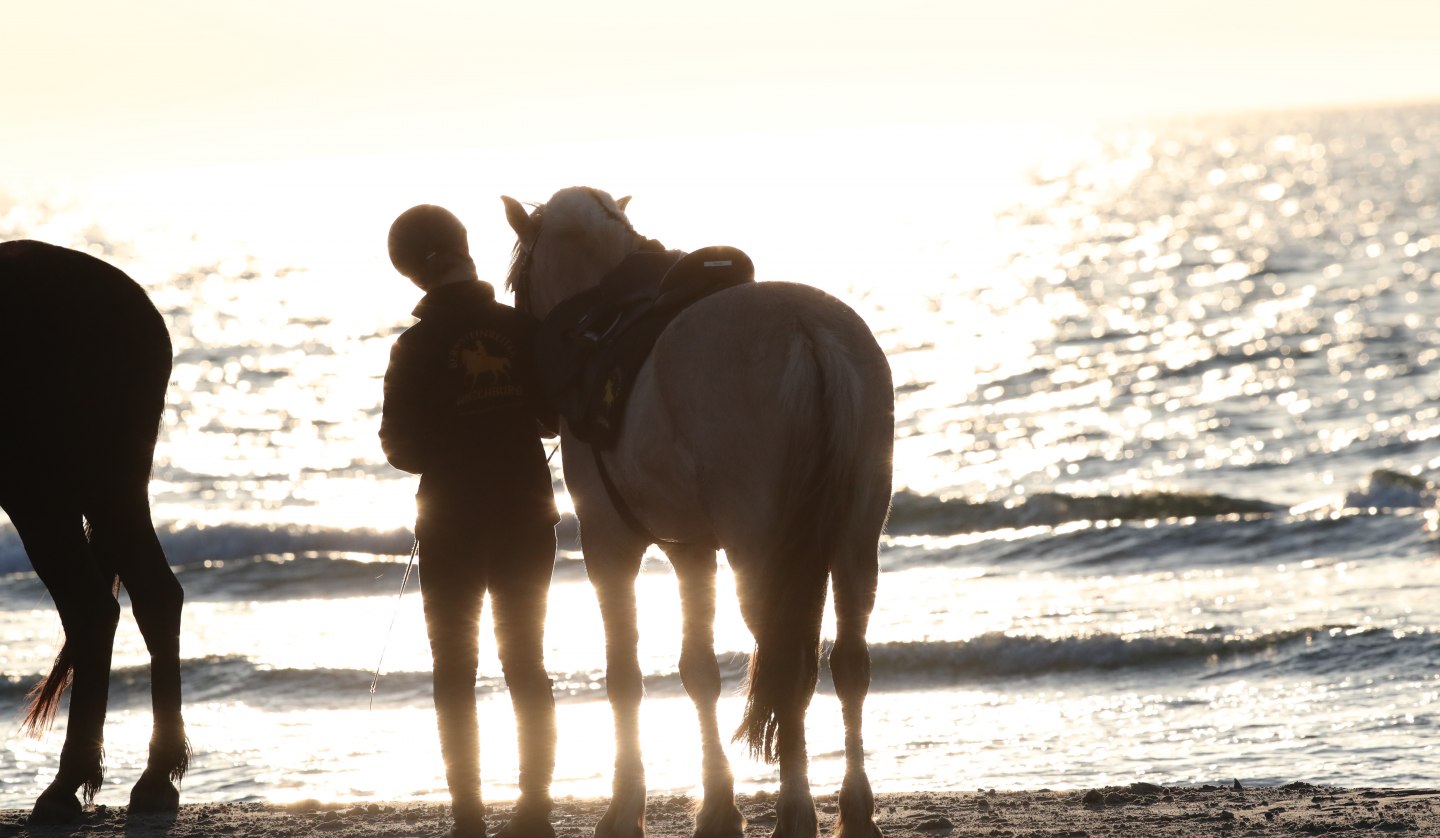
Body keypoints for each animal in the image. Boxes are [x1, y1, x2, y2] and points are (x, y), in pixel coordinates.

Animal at [0, 240, 188, 823]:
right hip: (110, 487)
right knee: (152, 595)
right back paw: (154, 777)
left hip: (46, 491)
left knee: (91, 608)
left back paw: (70, 784)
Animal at [504, 188, 887, 838]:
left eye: (516, 276)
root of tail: (808, 332)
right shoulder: (691, 550)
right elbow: (698, 670)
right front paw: (716, 807)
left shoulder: (610, 544)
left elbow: (625, 676)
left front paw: (625, 807)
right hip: (858, 540)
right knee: (848, 663)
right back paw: (854, 809)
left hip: (762, 553)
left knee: (787, 665)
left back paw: (795, 812)